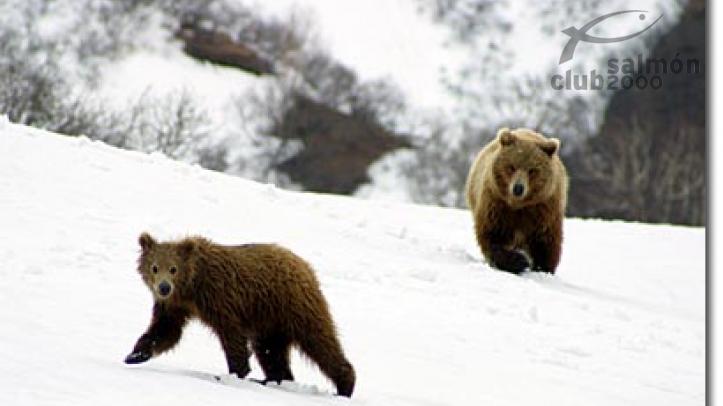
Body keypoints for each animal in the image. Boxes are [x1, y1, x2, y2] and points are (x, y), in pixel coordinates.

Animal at [124, 233, 356, 397]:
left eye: (173, 268)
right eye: (154, 267)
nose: (163, 287)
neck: (191, 288)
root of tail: (304, 265)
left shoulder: (221, 299)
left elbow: (232, 335)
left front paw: (235, 373)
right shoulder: (174, 306)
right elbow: (165, 330)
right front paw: (134, 355)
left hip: (292, 306)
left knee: (319, 340)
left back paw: (345, 385)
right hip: (270, 322)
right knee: (270, 351)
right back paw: (272, 380)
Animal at [464, 127, 568, 274]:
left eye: (532, 170)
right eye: (511, 166)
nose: (518, 188)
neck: (519, 205)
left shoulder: (543, 209)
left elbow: (545, 241)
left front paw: (543, 268)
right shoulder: (496, 205)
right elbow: (493, 236)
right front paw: (518, 261)